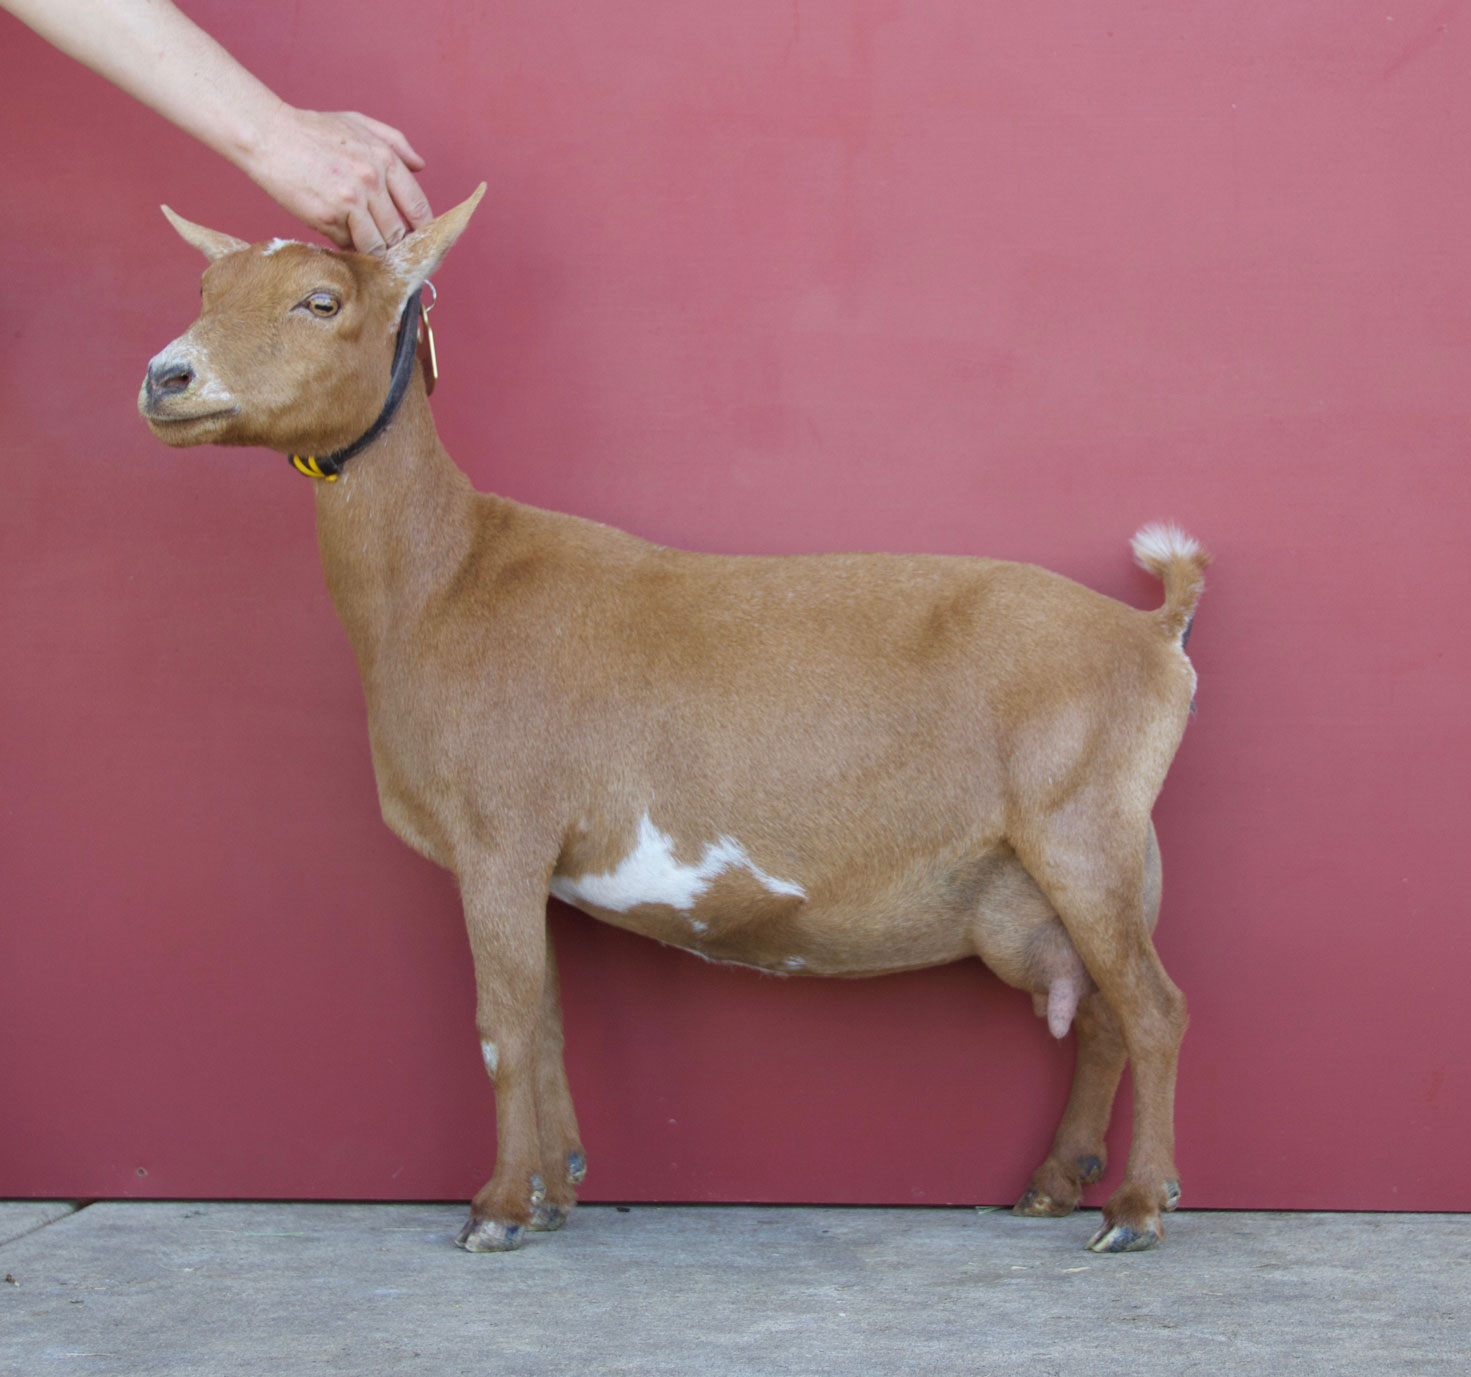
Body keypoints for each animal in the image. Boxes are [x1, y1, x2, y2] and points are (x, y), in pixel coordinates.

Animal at [140, 188, 1206, 1253]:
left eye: (320, 300)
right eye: (204, 288)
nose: (165, 376)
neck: (444, 579)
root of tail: (1155, 630)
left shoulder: (500, 833)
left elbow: (501, 1024)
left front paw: (497, 1209)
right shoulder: (538, 860)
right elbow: (547, 1018)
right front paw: (557, 1190)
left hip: (1081, 826)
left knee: (1155, 1009)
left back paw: (1138, 1209)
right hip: (1076, 869)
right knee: (1103, 1012)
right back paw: (1056, 1182)